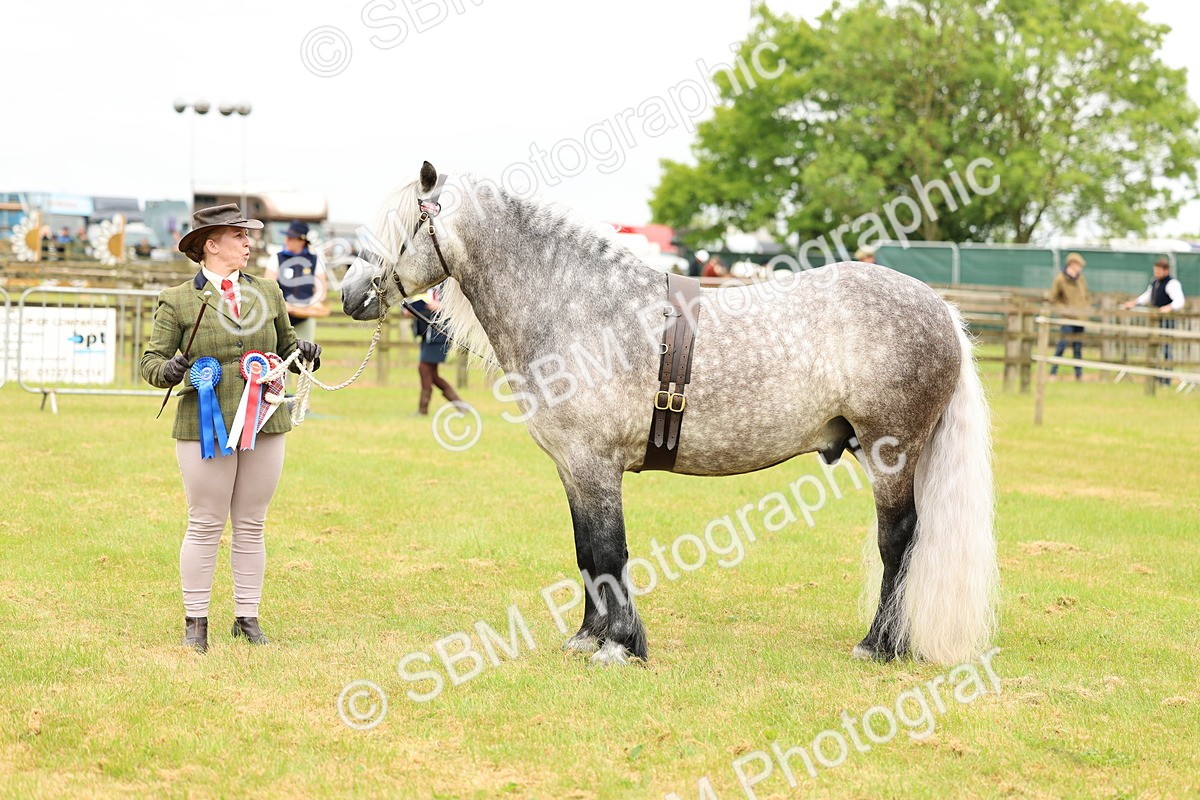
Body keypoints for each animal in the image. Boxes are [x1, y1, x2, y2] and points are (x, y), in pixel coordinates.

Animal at [342, 162, 997, 667]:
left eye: (403, 226)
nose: (349, 293)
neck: (580, 306)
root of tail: (938, 306)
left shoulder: (595, 465)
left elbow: (610, 552)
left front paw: (618, 646)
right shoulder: (573, 469)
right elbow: (587, 552)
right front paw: (588, 638)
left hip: (892, 453)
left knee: (899, 542)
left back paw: (880, 645)